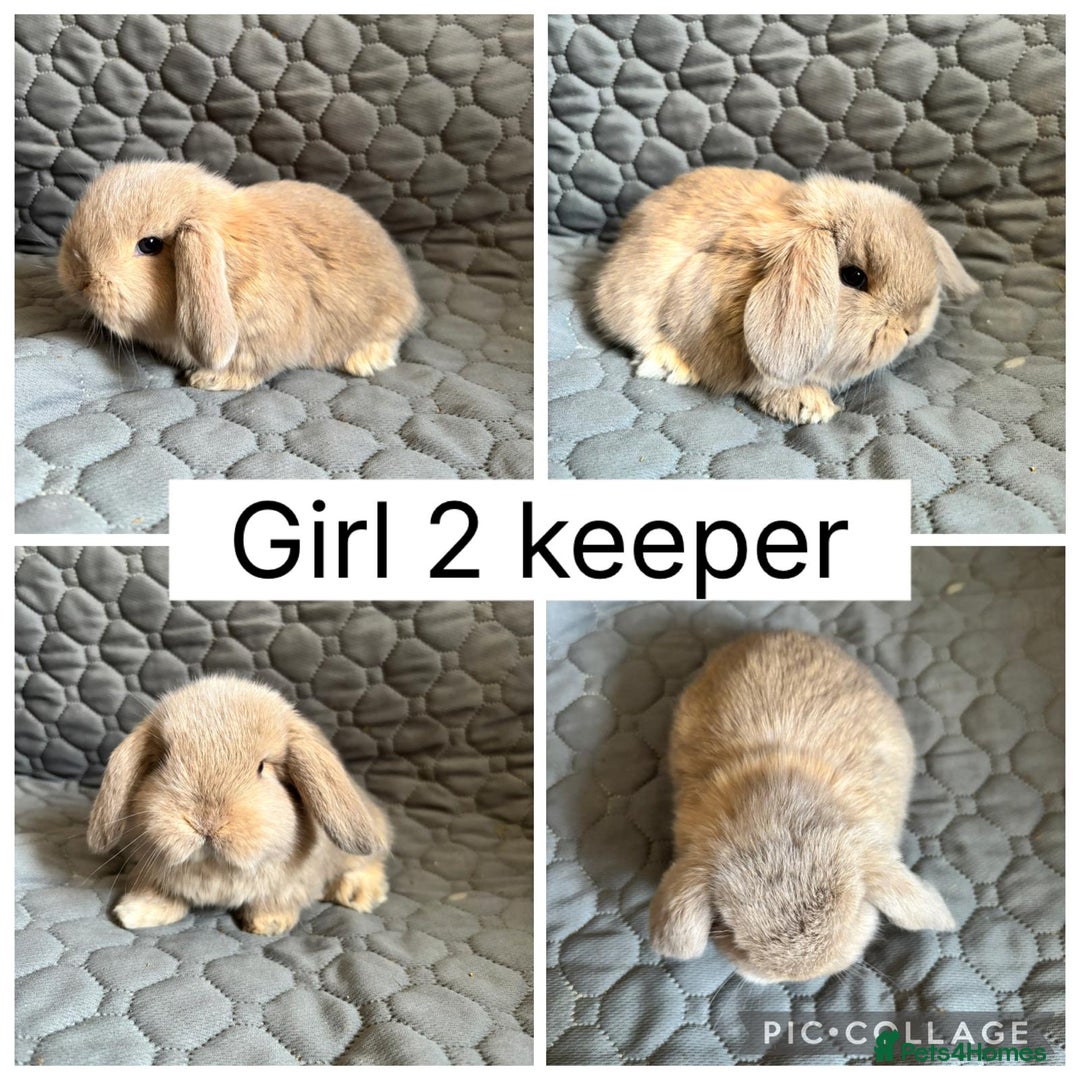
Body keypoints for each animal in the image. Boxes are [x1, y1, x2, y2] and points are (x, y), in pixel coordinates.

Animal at [87, 674, 392, 935]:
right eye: (162, 760)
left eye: (262, 767)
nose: (206, 822)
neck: (215, 869)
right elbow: (160, 892)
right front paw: (135, 912)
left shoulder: (294, 881)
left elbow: (280, 896)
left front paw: (269, 922)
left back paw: (356, 893)